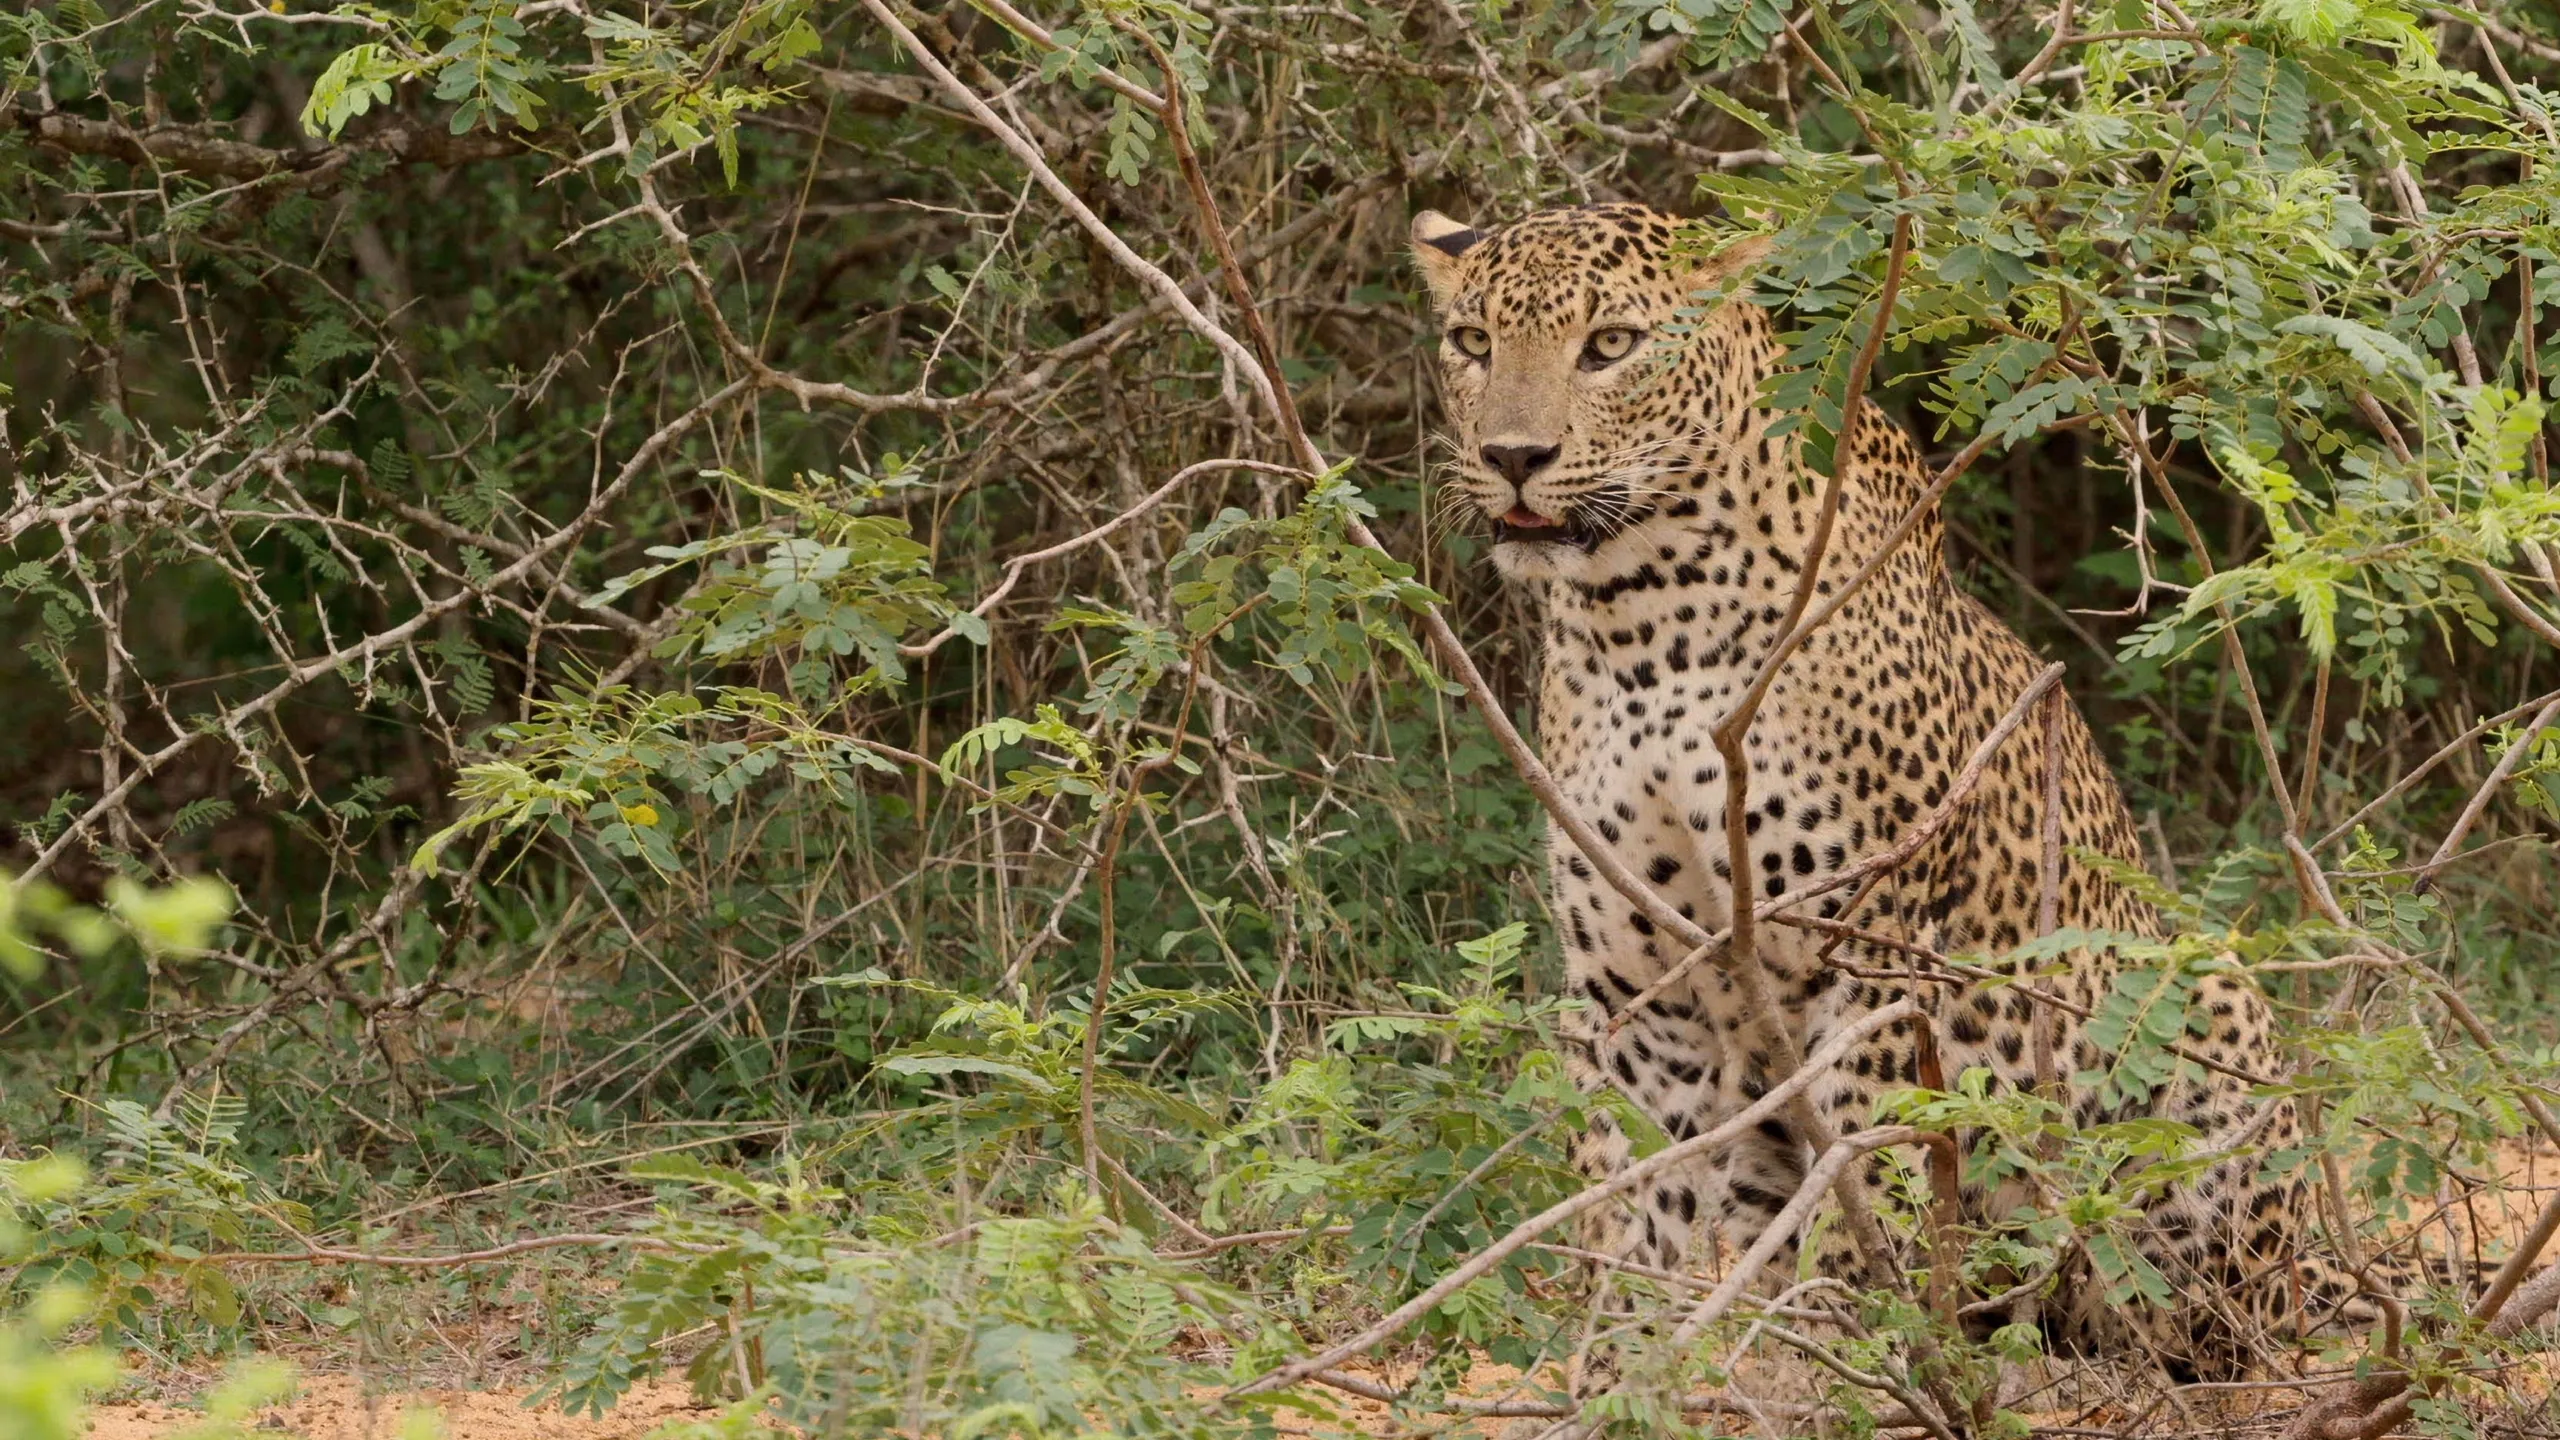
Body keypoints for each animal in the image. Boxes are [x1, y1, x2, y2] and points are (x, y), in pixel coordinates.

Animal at [1409, 200, 2389, 1382]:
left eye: (1610, 346)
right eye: (1472, 343)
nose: (1513, 457)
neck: (1636, 618)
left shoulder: (1869, 952)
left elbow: (1864, 1182)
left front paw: (1843, 1364)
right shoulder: (1637, 990)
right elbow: (1625, 1199)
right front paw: (1617, 1371)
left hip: (2188, 1006)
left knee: (2172, 1306)